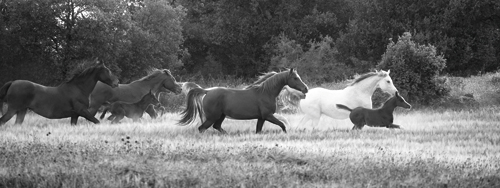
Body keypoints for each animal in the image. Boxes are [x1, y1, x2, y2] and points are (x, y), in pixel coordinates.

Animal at [178, 69, 306, 134]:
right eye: (295, 78)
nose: (306, 88)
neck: (266, 92)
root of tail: (207, 91)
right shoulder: (268, 115)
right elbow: (282, 125)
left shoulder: (261, 118)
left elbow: (258, 131)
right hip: (212, 117)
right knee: (202, 128)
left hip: (221, 116)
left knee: (216, 127)